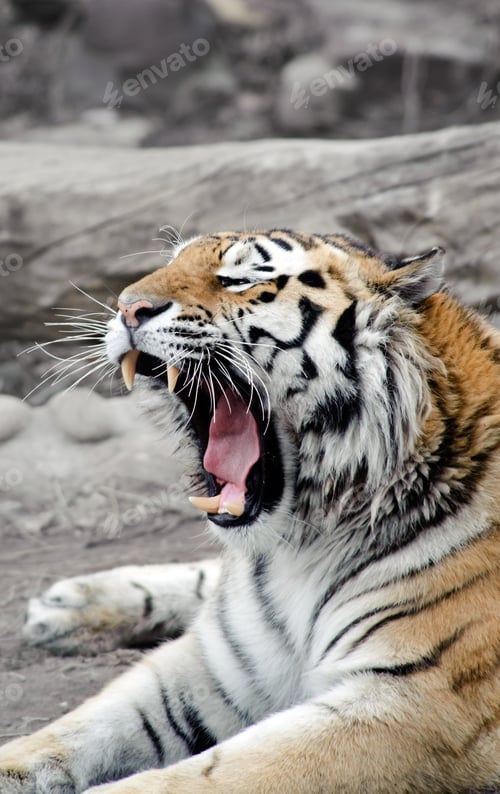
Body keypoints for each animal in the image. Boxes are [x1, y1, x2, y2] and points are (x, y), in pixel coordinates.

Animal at [0, 228, 499, 794]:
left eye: (238, 280)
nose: (127, 308)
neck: (304, 545)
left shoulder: (414, 699)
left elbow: (206, 775)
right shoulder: (214, 664)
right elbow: (75, 729)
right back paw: (65, 605)